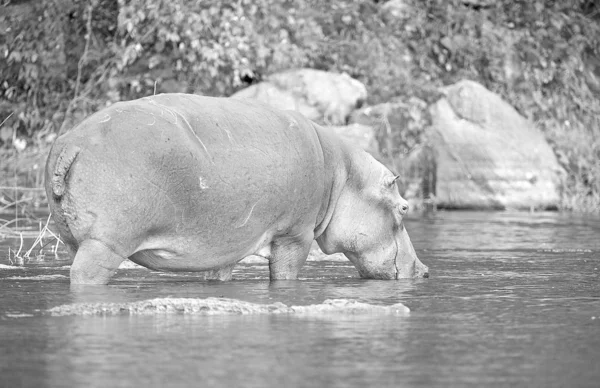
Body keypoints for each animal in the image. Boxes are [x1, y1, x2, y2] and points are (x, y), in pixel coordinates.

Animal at [47, 92, 428, 284]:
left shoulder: (222, 246)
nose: (425, 270)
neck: (344, 176)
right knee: (86, 273)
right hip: (106, 242)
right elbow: (285, 275)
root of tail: (71, 143)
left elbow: (219, 274)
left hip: (74, 239)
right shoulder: (295, 236)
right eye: (403, 207)